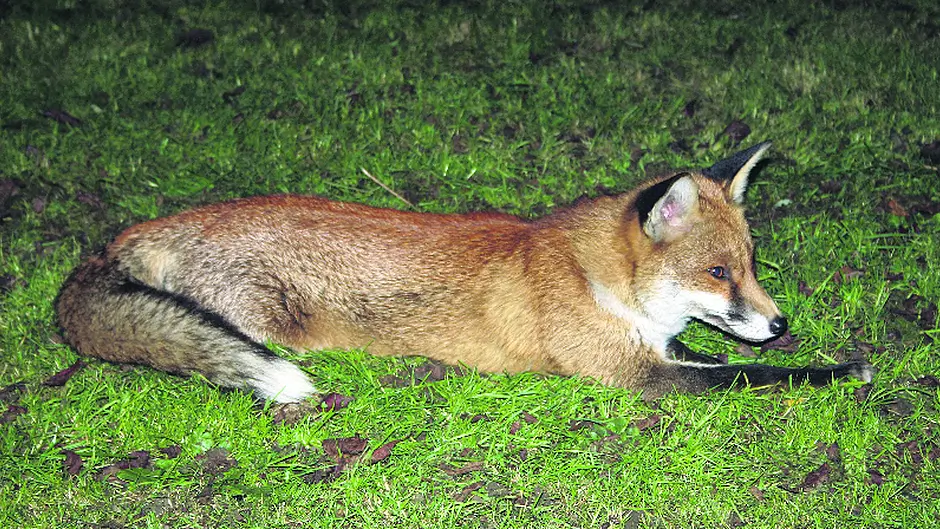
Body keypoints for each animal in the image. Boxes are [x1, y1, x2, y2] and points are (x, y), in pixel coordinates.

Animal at [56, 141, 872, 403]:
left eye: (751, 266)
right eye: (716, 271)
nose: (780, 321)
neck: (596, 279)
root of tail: (139, 230)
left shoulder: (656, 352)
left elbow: (735, 360)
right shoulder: (639, 376)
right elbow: (760, 374)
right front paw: (843, 368)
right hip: (262, 322)